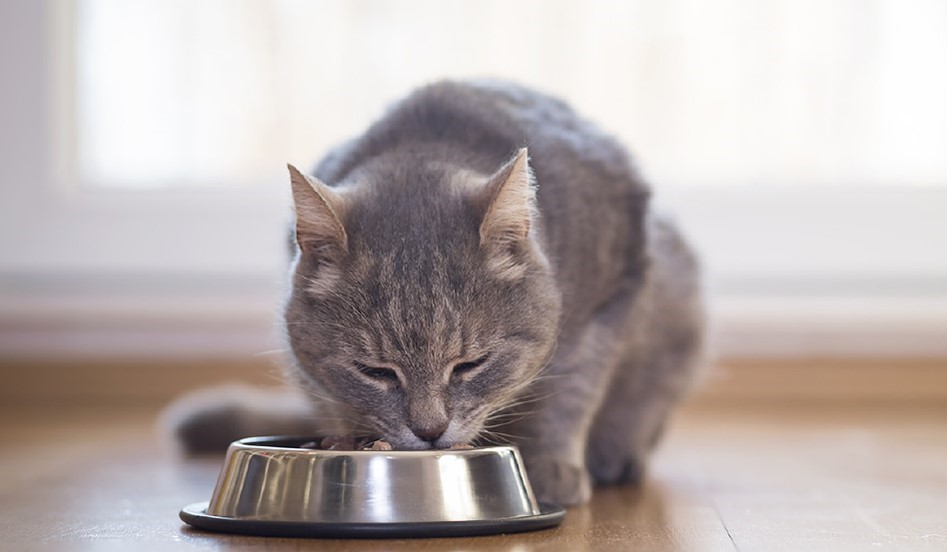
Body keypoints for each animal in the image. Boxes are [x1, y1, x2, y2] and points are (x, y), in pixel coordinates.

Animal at [167, 80, 704, 506]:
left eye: (470, 365)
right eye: (375, 371)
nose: (429, 431)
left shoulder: (608, 301)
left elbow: (570, 391)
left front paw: (552, 466)